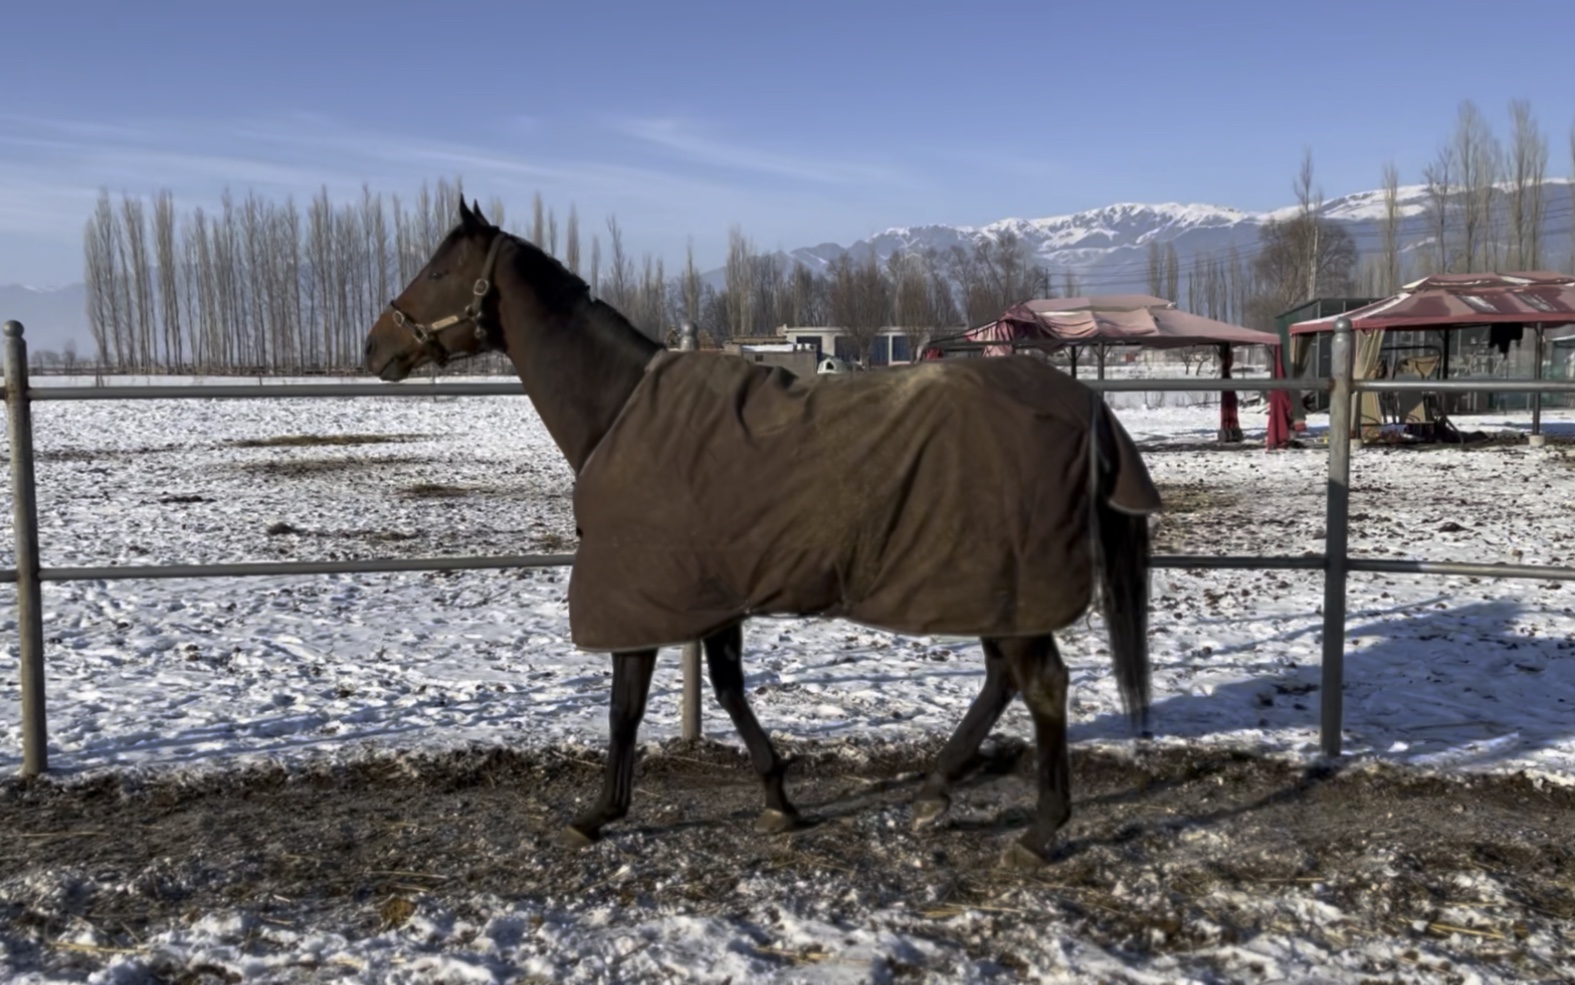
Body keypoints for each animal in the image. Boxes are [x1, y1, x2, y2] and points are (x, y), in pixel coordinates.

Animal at [368, 200, 1159, 857]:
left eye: (438, 270)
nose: (375, 347)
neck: (619, 409)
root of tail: (1081, 404)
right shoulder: (712, 591)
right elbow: (726, 688)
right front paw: (779, 798)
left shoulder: (638, 596)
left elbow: (626, 708)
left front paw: (598, 813)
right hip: (991, 586)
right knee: (1003, 679)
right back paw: (936, 792)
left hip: (1006, 584)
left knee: (1042, 685)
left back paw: (1038, 830)